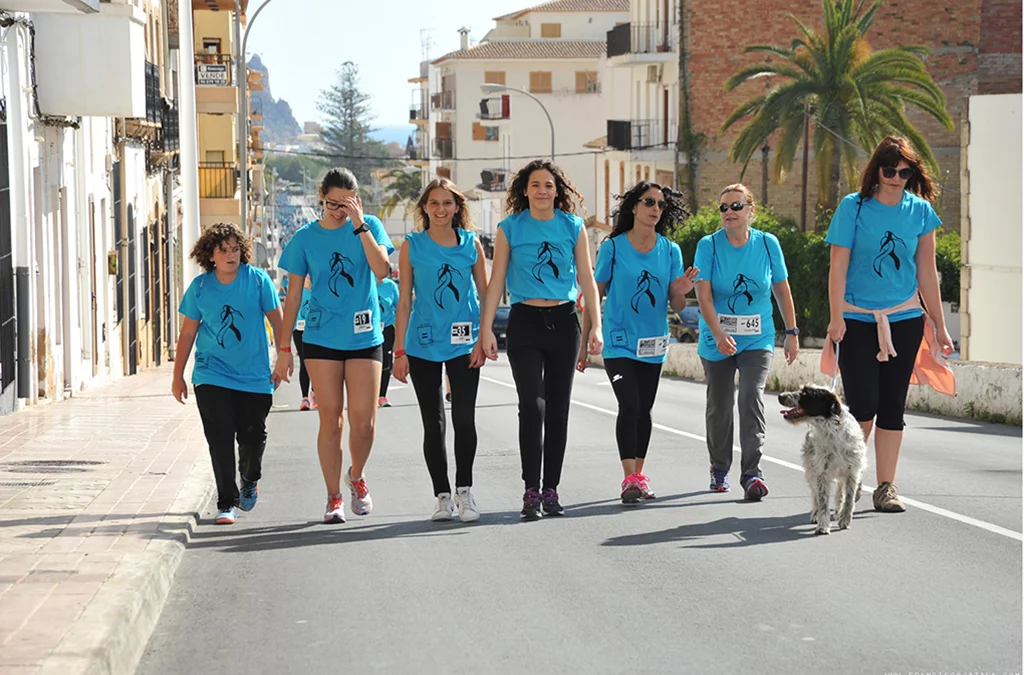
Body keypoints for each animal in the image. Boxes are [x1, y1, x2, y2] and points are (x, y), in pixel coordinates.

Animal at [778, 387, 868, 536]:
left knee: (839, 492)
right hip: (811, 472)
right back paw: (815, 514)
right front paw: (823, 526)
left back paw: (838, 511)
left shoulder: (852, 473)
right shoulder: (822, 473)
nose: (780, 396)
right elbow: (823, 501)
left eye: (805, 394)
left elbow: (849, 500)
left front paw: (845, 519)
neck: (832, 430)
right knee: (815, 496)